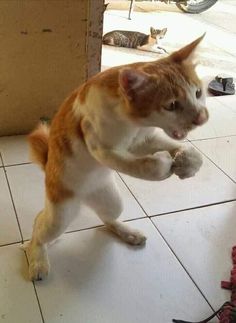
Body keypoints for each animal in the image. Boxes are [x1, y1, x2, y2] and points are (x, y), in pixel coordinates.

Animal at [24, 35, 208, 280]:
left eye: (198, 93)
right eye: (171, 105)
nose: (202, 118)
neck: (132, 122)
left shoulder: (143, 140)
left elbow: (174, 148)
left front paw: (189, 161)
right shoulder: (100, 147)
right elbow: (139, 165)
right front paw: (164, 164)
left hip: (112, 200)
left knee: (108, 218)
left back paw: (127, 232)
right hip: (60, 214)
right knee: (39, 228)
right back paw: (37, 259)